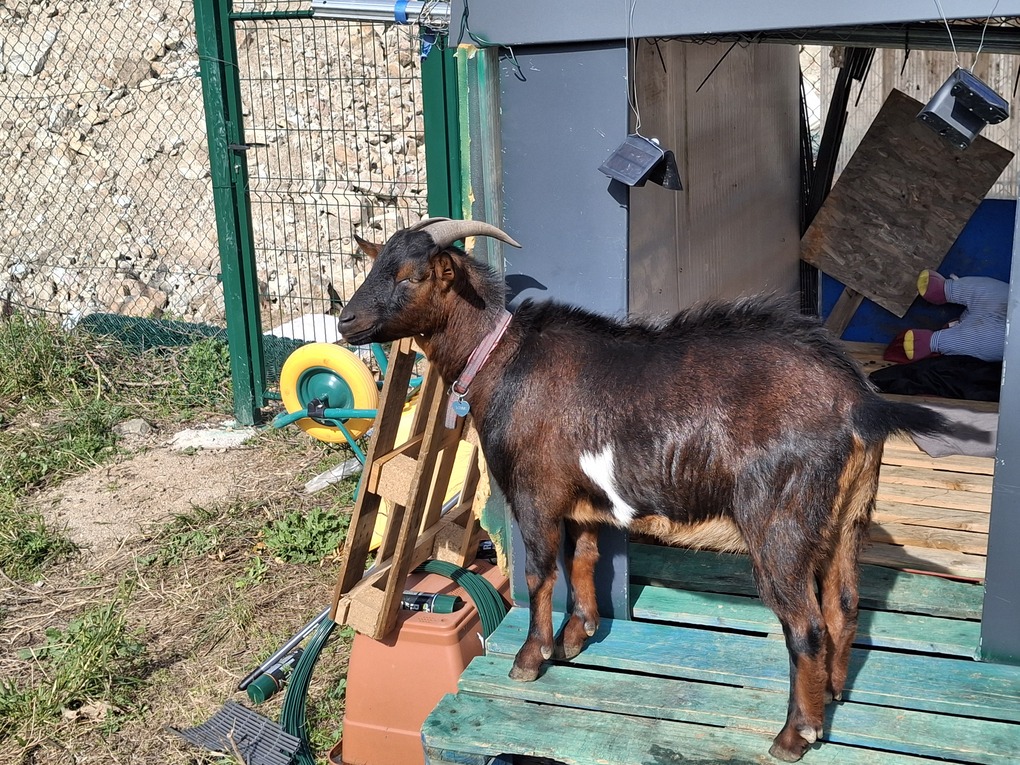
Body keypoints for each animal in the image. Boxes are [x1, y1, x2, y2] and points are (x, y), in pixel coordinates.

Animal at [336, 217, 949, 762]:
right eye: (375, 264)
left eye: (411, 275)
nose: (345, 322)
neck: (500, 358)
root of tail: (860, 401)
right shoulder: (582, 500)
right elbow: (584, 559)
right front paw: (578, 636)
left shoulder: (535, 494)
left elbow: (541, 573)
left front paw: (532, 658)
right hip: (849, 514)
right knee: (844, 605)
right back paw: (834, 696)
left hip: (781, 522)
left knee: (807, 626)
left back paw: (794, 735)